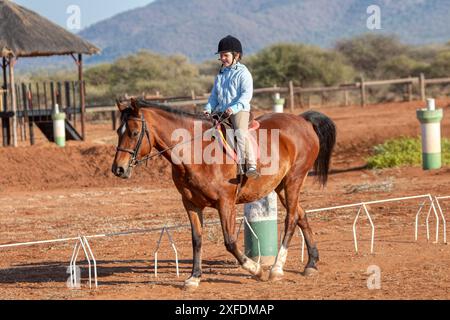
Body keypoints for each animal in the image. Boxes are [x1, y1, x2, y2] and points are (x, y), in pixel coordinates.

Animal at [112, 98, 336, 290]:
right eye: (118, 132)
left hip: (293, 180)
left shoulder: (225, 202)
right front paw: (194, 278)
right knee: (300, 214)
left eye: (134, 133)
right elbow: (197, 239)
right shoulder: (191, 204)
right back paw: (311, 263)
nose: (118, 169)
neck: (196, 152)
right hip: (281, 186)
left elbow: (229, 241)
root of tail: (302, 120)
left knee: (291, 218)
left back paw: (276, 268)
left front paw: (256, 270)